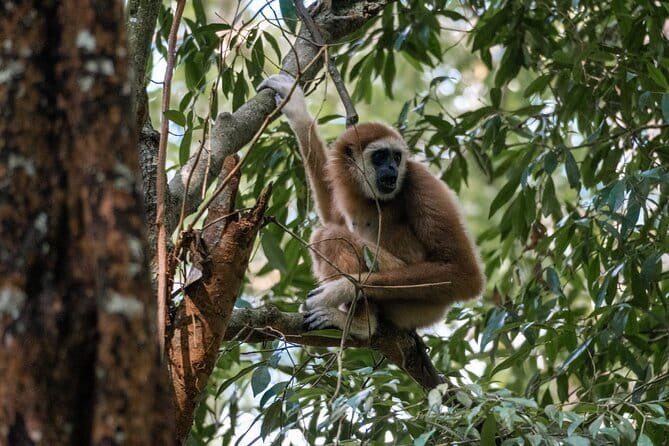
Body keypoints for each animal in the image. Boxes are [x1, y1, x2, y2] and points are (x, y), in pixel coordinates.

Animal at [257, 74, 485, 339]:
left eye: (396, 157)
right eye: (381, 156)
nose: (393, 168)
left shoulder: (420, 179)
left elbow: (463, 274)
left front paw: (343, 289)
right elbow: (333, 216)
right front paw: (296, 110)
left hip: (416, 304)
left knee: (331, 236)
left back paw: (359, 325)